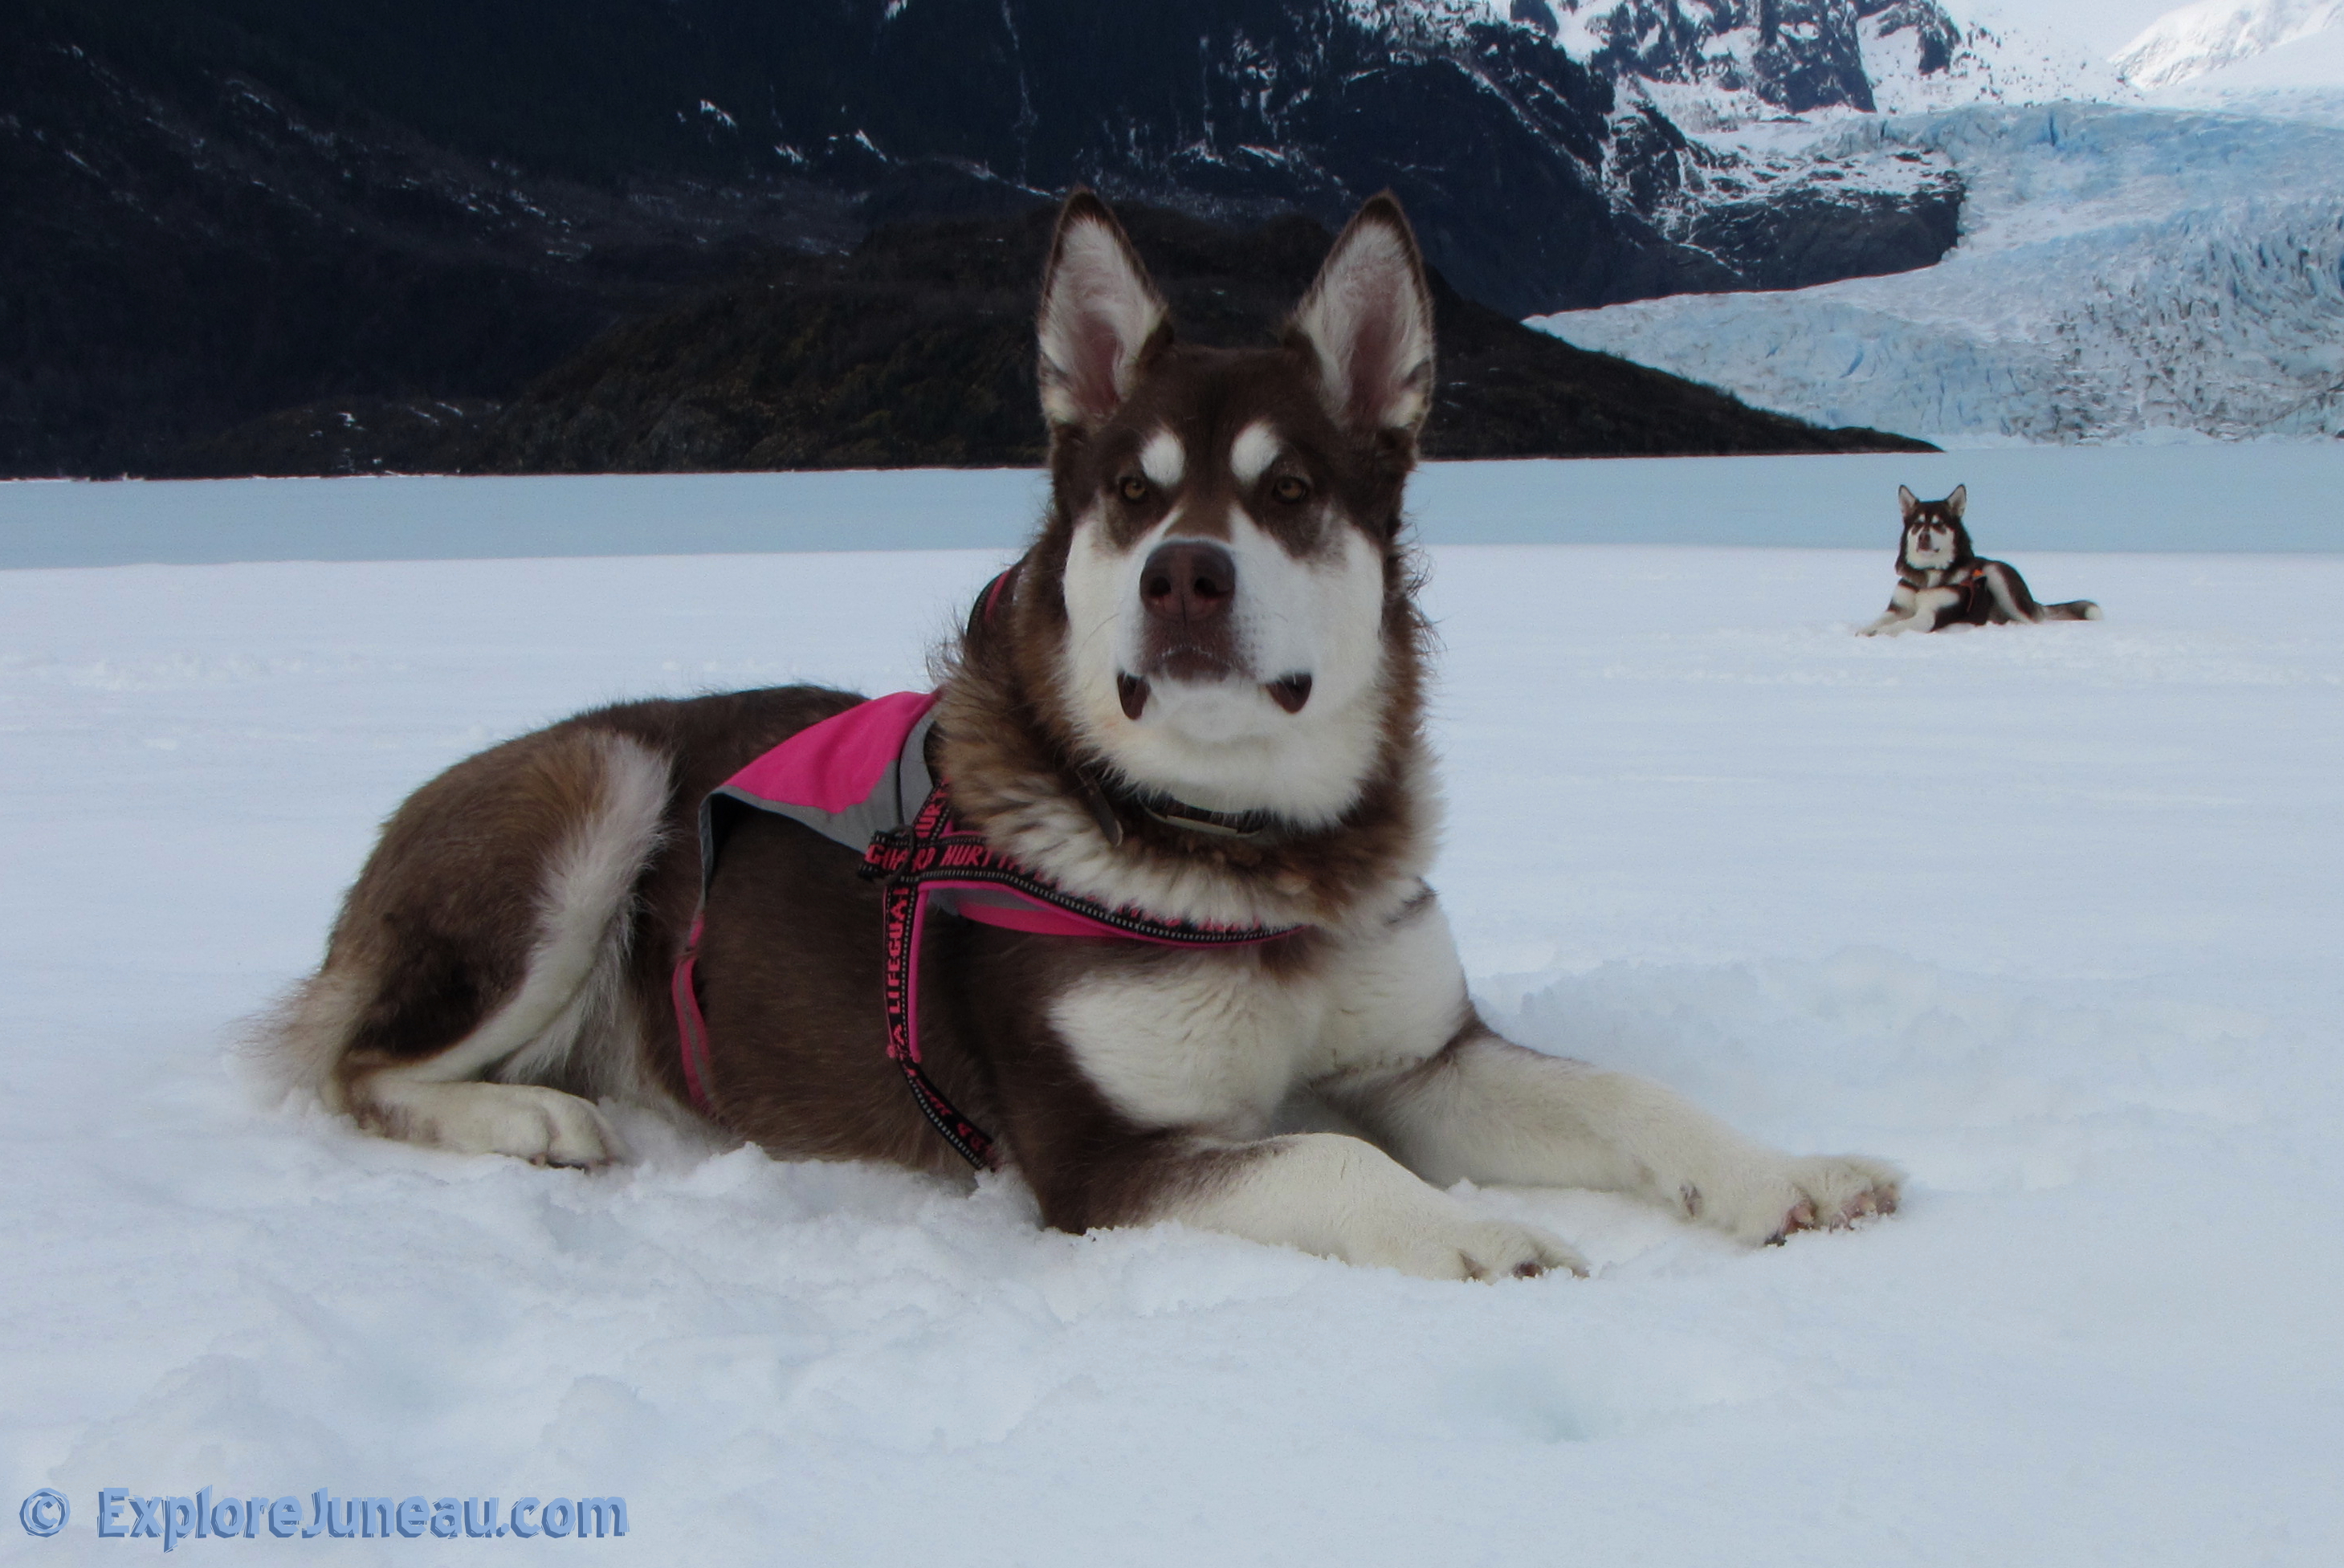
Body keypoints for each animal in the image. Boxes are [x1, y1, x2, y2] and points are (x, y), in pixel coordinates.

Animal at [266, 189, 1894, 1275]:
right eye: (1131, 490)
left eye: (1288, 489)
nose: (1186, 575)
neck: (1237, 845)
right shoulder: (1097, 1157)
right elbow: (1326, 1149)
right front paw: (1477, 1236)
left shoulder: (1418, 1055)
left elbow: (1618, 1091)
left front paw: (1781, 1175)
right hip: (587, 794)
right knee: (353, 1068)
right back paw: (524, 1123)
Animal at [1865, 485, 2110, 637]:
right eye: (1917, 524)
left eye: (1939, 524)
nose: (1924, 537)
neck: (1928, 574)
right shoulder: (1898, 607)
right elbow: (1880, 619)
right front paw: (1866, 628)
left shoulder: (1932, 615)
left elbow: (1904, 624)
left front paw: (1882, 633)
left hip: (1996, 573)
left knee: (2032, 620)